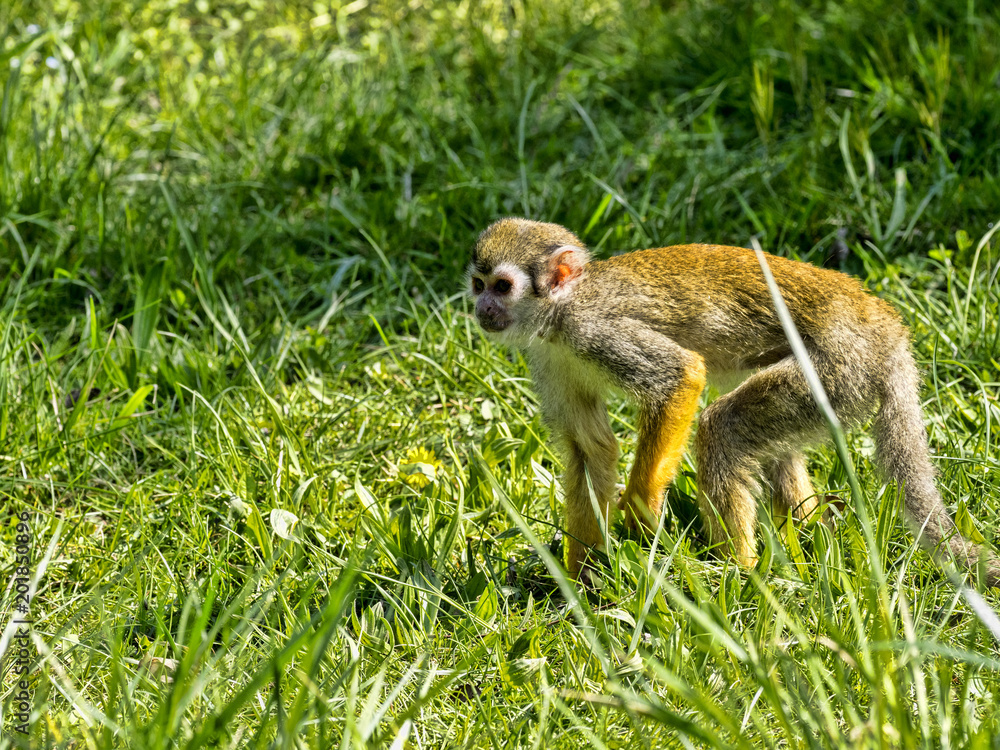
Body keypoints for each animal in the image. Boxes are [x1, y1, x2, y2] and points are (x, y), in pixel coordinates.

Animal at [466, 217, 1000, 587]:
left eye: (503, 286)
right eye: (477, 284)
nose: (481, 309)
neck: (559, 312)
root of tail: (884, 323)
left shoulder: (592, 329)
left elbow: (679, 376)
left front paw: (639, 507)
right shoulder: (547, 356)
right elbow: (590, 448)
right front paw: (580, 583)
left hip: (840, 365)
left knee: (723, 425)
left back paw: (741, 577)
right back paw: (804, 529)